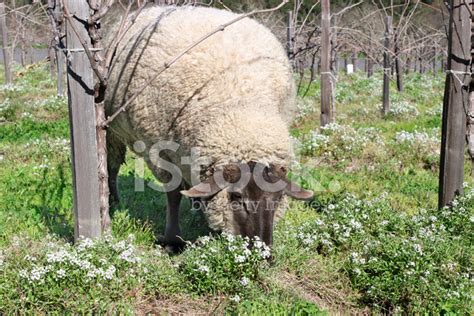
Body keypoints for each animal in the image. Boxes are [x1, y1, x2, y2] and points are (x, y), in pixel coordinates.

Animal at [104, 4, 312, 247]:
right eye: (236, 197)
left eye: (278, 198)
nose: (262, 250)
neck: (241, 103)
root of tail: (155, 7)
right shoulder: (158, 150)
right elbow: (173, 194)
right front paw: (173, 239)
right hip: (111, 128)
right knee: (112, 165)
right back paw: (113, 200)